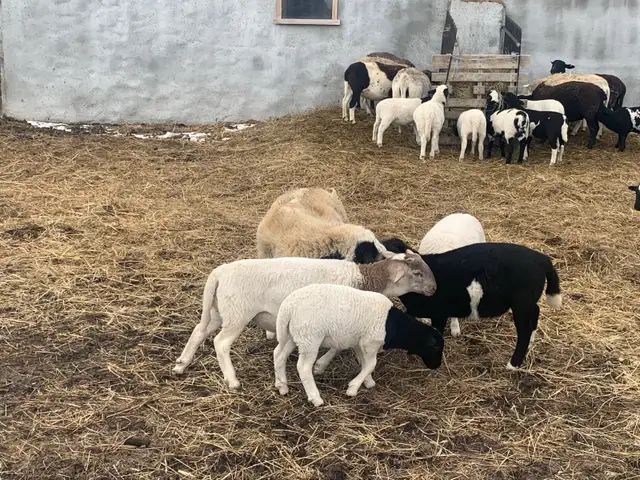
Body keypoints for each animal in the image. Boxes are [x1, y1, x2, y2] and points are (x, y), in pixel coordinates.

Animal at [171, 250, 437, 389]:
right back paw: (232, 380)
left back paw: (181, 364)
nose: (434, 289)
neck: (364, 280)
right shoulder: (340, 319)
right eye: (417, 273)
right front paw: (322, 366)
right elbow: (338, 348)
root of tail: (219, 273)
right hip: (238, 314)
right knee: (221, 343)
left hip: (219, 311)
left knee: (198, 331)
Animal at [273, 284, 444, 406]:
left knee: (279, 355)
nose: (437, 366)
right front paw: (353, 388)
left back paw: (282, 386)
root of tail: (288, 306)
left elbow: (364, 363)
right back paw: (316, 398)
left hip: (294, 336)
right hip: (310, 338)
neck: (393, 325)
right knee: (303, 368)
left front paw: (368, 382)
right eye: (435, 347)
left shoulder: (360, 343)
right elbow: (371, 364)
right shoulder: (370, 343)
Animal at [380, 240, 563, 370]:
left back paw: (514, 364)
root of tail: (543, 259)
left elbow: (435, 333)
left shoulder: (439, 313)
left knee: (524, 329)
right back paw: (530, 344)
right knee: (535, 314)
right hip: (528, 302)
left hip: (521, 303)